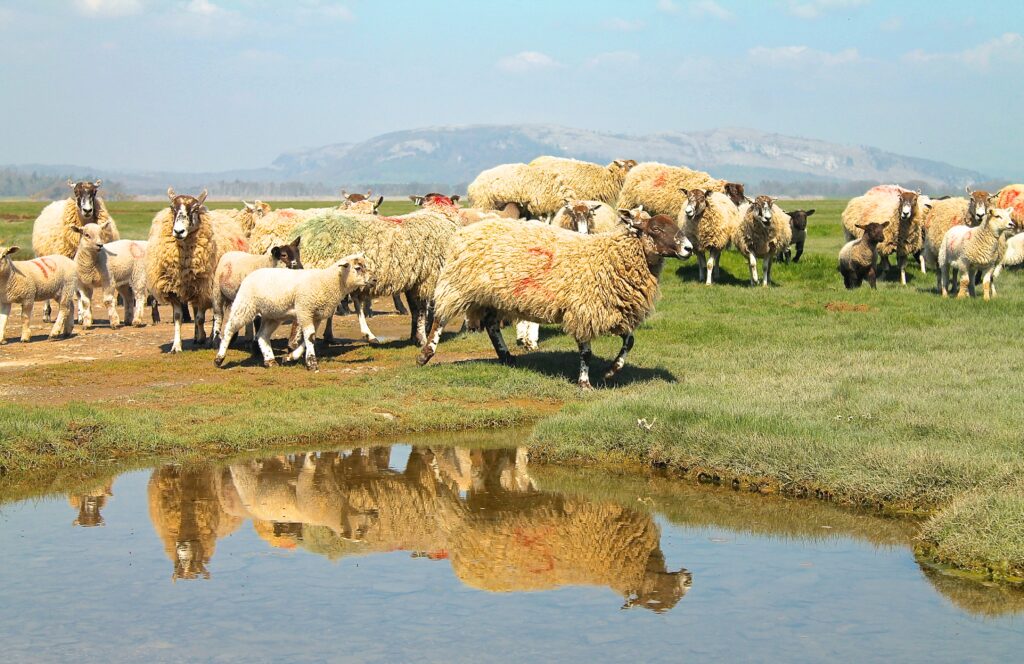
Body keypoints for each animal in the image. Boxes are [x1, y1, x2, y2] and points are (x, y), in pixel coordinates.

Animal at [145, 186, 244, 352]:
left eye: (195, 209)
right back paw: (198, 337)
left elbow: (200, 317)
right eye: (172, 208)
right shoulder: (174, 289)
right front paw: (176, 346)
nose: (178, 232)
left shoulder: (204, 289)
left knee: (217, 314)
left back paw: (211, 338)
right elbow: (178, 317)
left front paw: (205, 337)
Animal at [216, 252, 372, 370]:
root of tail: (251, 274)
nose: (374, 279)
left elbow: (308, 338)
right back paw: (219, 358)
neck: (327, 282)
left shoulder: (315, 316)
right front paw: (311, 363)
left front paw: (290, 357)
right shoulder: (305, 310)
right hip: (245, 305)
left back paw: (270, 360)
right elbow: (310, 337)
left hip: (272, 315)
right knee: (229, 328)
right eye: (358, 268)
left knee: (262, 335)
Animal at [290, 193, 462, 348]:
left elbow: (414, 310)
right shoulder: (427, 277)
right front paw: (422, 338)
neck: (439, 216)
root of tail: (306, 233)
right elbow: (421, 310)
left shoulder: (414, 279)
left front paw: (414, 337)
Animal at [417, 210, 696, 389]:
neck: (609, 256)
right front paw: (584, 383)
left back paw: (506, 356)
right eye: (656, 229)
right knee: (441, 317)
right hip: (459, 284)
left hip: (491, 295)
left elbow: (630, 340)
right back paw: (425, 354)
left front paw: (611, 371)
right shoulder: (583, 309)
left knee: (491, 325)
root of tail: (465, 231)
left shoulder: (611, 311)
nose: (689, 248)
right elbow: (586, 352)